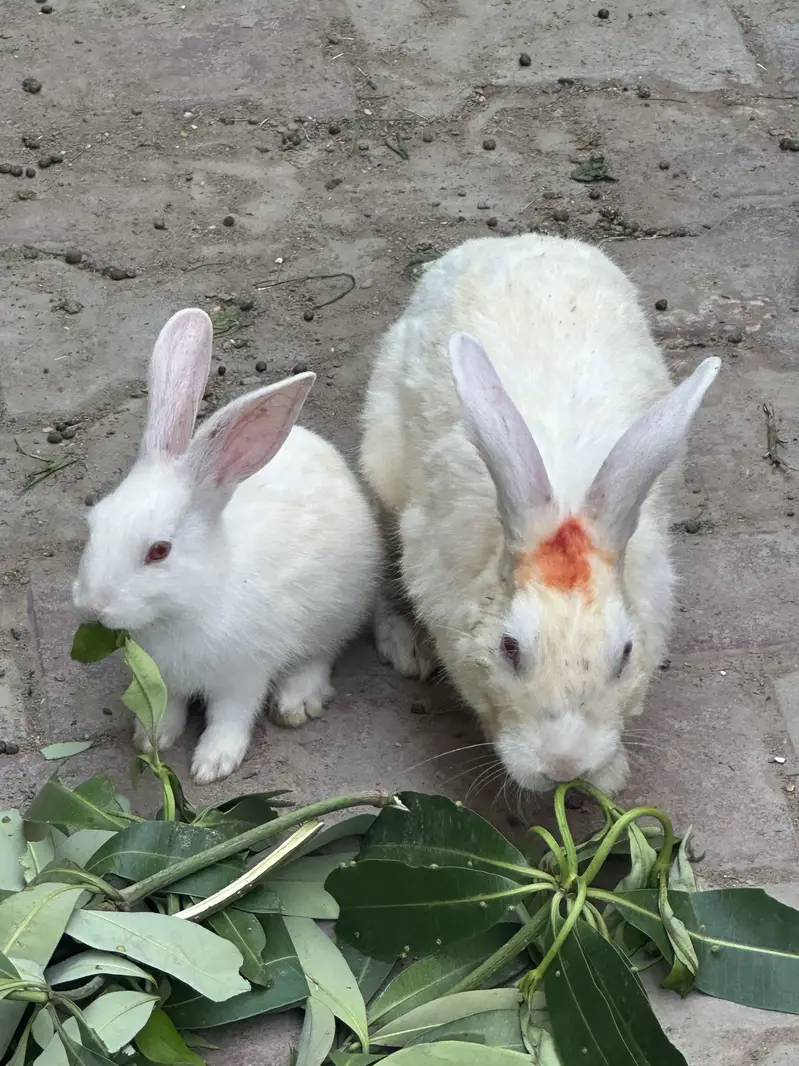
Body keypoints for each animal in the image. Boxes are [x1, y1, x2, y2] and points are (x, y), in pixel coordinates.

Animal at [73, 308, 381, 784]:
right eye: (95, 521)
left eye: (159, 550)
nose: (91, 607)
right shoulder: (164, 677)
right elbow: (170, 707)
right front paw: (153, 738)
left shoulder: (244, 674)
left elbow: (231, 717)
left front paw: (212, 764)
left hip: (337, 610)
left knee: (321, 655)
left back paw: (296, 700)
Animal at [360, 233, 720, 795]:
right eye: (509, 648)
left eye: (625, 654)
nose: (564, 768)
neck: (565, 497)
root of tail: (515, 240)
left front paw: (608, 778)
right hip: (381, 458)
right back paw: (405, 646)